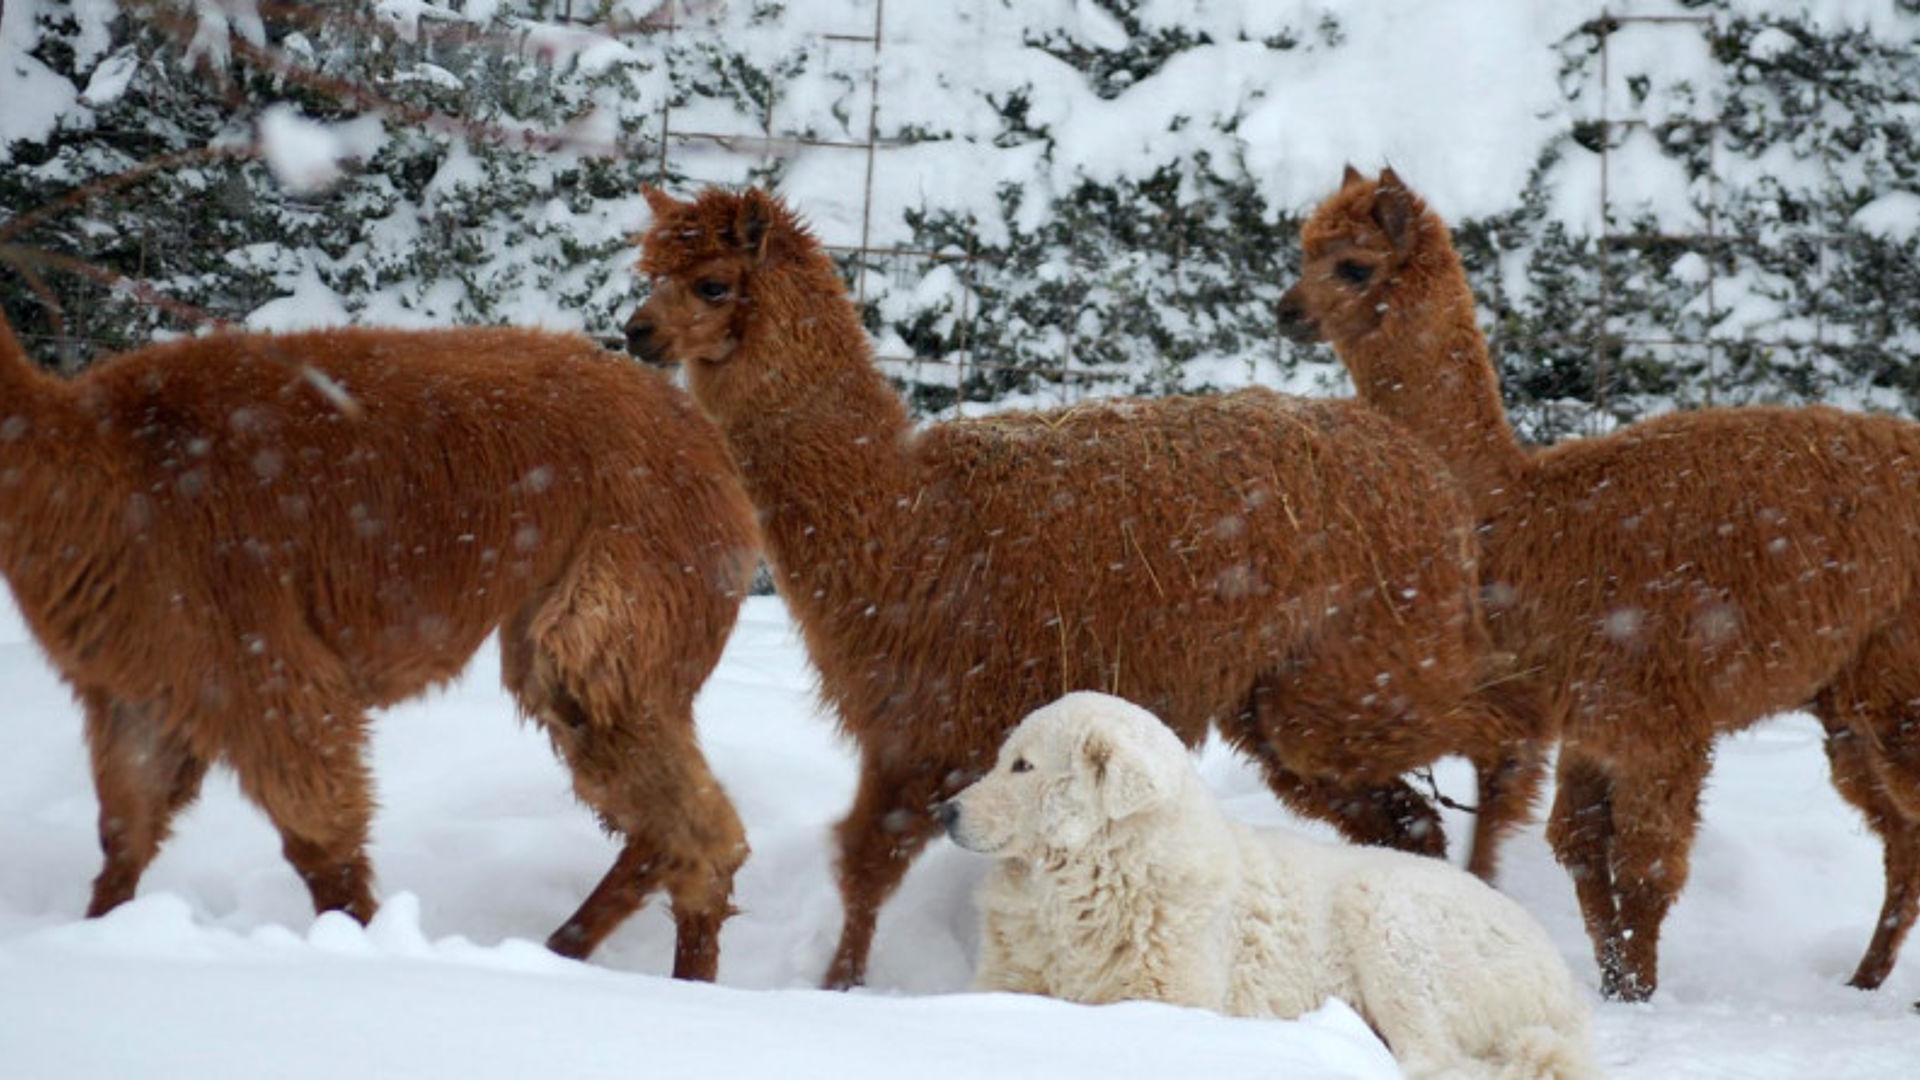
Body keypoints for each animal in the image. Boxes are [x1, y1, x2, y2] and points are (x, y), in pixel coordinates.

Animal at [936, 687, 1597, 1076]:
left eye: (1022, 766)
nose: (945, 811)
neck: (1094, 879)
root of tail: (1565, 990)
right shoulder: (1004, 980)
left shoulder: (1171, 998)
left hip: (1387, 918)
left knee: (1431, 1059)